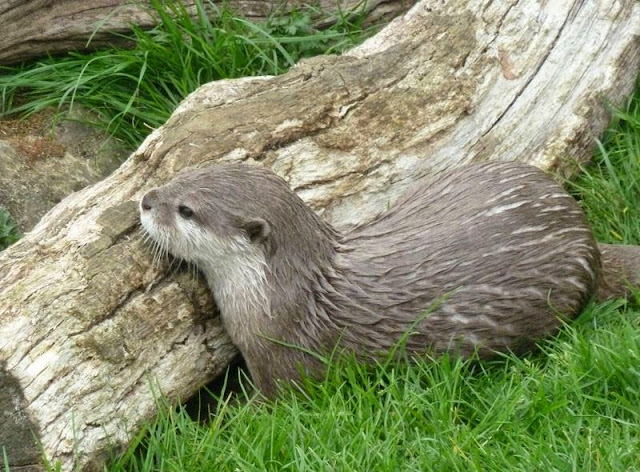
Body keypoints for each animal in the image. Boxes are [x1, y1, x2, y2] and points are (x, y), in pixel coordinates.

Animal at [139, 162, 600, 398]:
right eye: (179, 174)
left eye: (185, 209)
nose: (145, 199)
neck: (283, 299)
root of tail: (585, 235)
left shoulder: (282, 361)